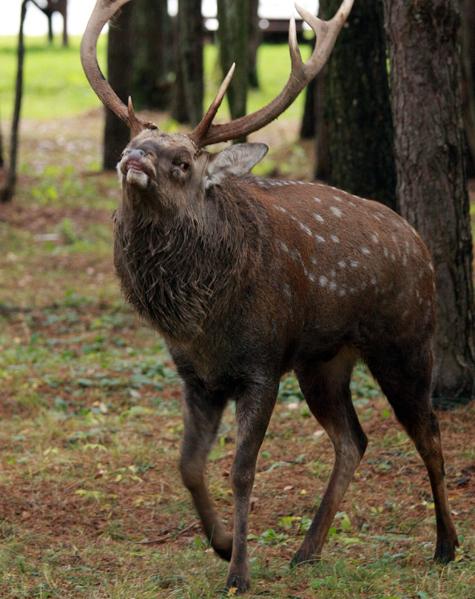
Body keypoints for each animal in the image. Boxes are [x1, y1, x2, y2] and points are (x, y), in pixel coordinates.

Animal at [80, 0, 460, 592]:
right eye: (131, 143)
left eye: (183, 162)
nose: (133, 158)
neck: (203, 323)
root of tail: (417, 239)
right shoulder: (196, 377)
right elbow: (188, 464)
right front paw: (221, 544)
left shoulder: (260, 366)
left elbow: (242, 470)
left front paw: (239, 572)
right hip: (321, 361)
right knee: (354, 439)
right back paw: (307, 550)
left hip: (405, 339)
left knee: (430, 432)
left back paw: (446, 545)